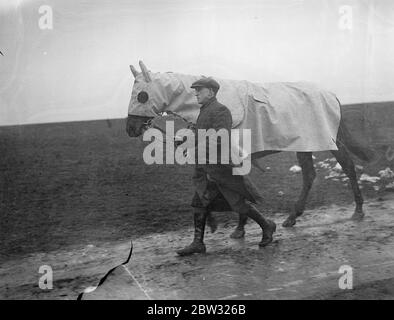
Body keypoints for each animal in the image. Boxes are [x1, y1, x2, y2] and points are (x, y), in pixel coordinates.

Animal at [125, 60, 372, 235]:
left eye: (141, 95)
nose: (131, 128)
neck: (217, 101)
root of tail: (330, 95)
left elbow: (236, 187)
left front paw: (239, 227)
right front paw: (223, 224)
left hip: (330, 141)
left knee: (348, 167)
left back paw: (358, 211)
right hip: (304, 145)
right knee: (310, 175)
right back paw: (293, 217)